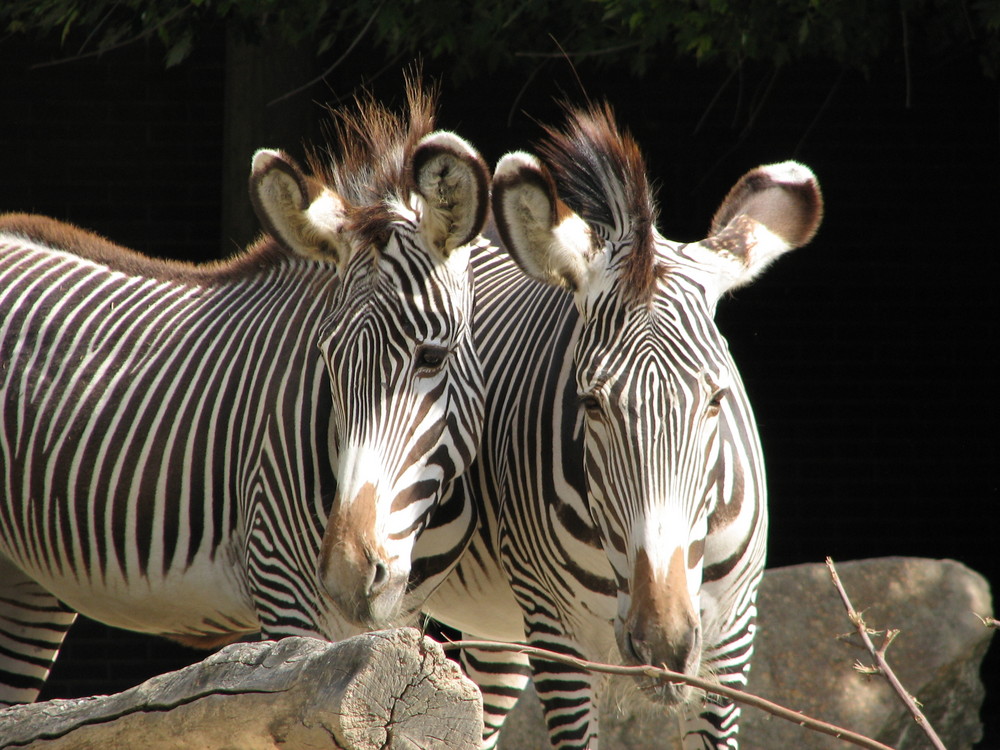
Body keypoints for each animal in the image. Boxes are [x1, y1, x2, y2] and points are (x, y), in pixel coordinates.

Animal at [0, 85, 488, 708]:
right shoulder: (284, 592)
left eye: (431, 357)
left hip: (24, 581)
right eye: (326, 359)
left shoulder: (401, 612)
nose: (347, 575)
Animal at [422, 103, 820, 748]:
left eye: (716, 400)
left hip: (498, 630)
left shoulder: (733, 636)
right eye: (591, 404)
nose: (662, 644)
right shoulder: (557, 636)